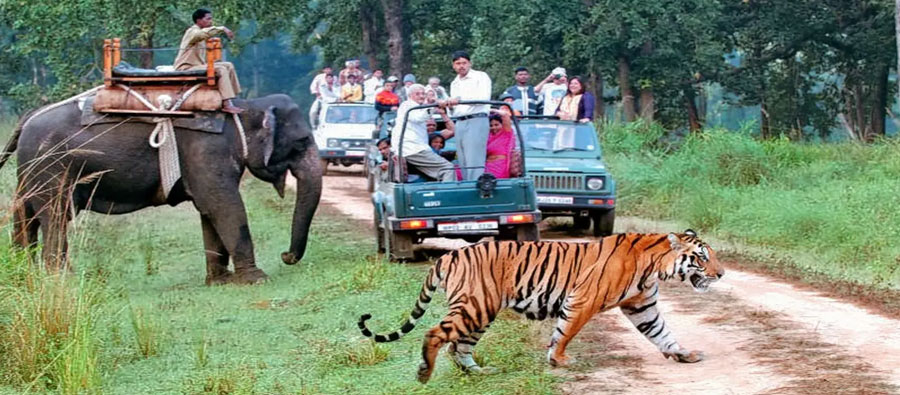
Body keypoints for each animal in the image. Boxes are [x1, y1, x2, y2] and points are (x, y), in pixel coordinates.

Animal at [0, 93, 324, 284]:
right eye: (301, 142)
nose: (286, 256)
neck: (244, 106)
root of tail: (27, 118)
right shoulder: (207, 150)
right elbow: (224, 205)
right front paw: (257, 279)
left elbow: (209, 210)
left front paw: (220, 281)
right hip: (52, 168)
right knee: (55, 216)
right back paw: (62, 280)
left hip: (30, 171)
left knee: (25, 216)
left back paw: (25, 273)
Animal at [356, 230, 724, 386]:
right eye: (702, 257)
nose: (721, 274)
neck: (655, 266)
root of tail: (448, 255)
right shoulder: (582, 300)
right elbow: (566, 331)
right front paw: (559, 359)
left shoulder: (642, 307)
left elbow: (662, 333)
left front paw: (684, 354)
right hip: (476, 306)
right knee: (436, 335)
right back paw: (424, 373)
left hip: (480, 312)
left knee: (458, 346)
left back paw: (478, 373)